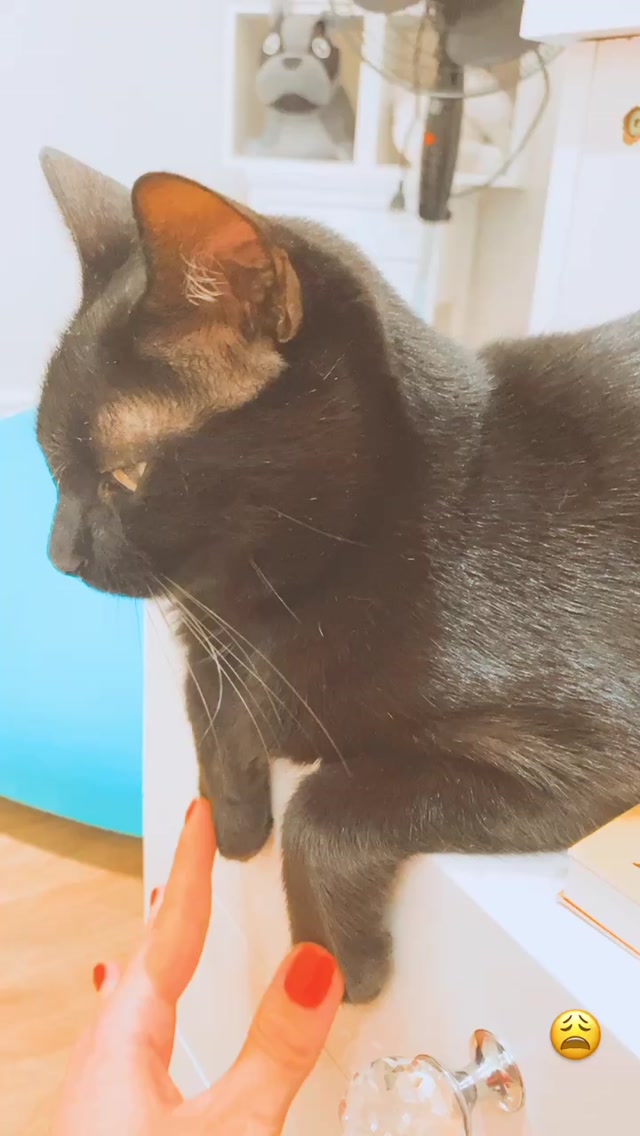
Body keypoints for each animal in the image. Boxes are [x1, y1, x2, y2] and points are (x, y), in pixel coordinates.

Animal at [37, 148, 640, 1003]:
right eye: (50, 463)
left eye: (124, 473)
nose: (57, 554)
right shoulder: (213, 634)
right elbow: (207, 694)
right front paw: (232, 817)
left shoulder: (589, 747)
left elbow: (330, 799)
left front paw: (329, 965)